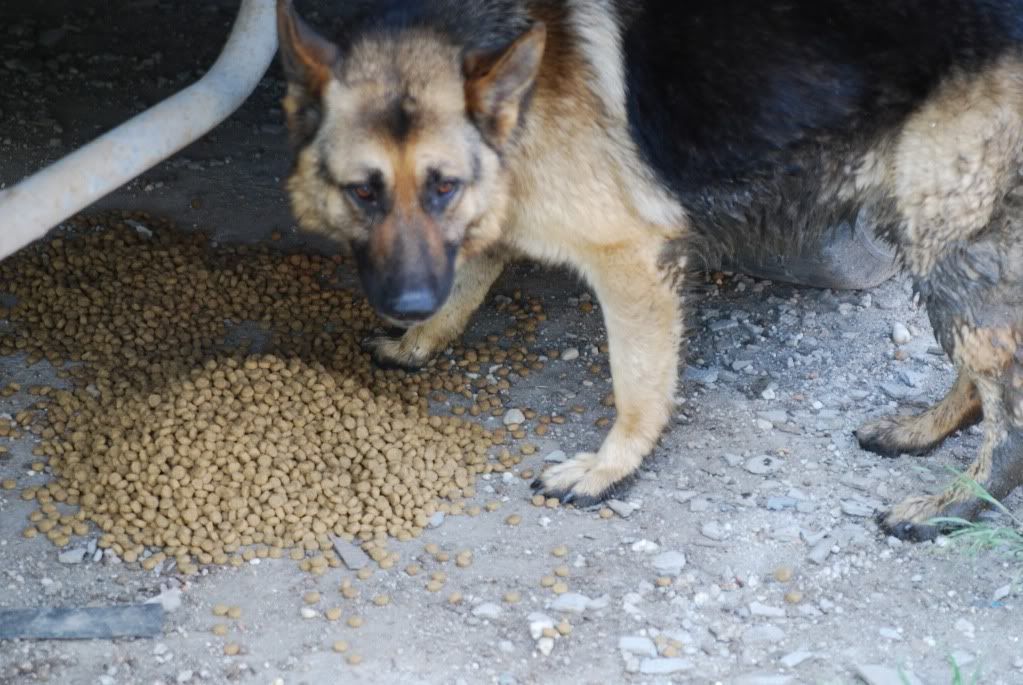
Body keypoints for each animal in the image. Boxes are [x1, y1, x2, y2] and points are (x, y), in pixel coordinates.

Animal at [276, 0, 1023, 543]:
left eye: (441, 186)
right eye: (362, 191)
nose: (405, 302)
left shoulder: (629, 258)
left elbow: (635, 384)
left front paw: (611, 468)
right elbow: (468, 277)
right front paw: (417, 342)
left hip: (940, 231)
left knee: (1006, 399)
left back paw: (950, 507)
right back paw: (923, 431)